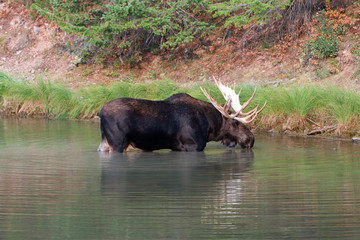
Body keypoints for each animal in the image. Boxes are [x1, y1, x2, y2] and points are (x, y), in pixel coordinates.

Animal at [97, 77, 266, 152]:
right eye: (236, 123)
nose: (251, 139)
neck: (210, 127)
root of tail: (100, 112)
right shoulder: (193, 145)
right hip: (118, 143)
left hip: (105, 142)